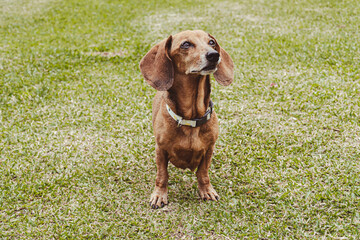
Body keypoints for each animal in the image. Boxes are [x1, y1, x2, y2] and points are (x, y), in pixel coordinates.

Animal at [139, 30, 235, 209]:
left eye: (211, 42)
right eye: (186, 44)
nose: (214, 55)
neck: (192, 118)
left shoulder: (209, 149)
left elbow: (203, 173)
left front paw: (206, 191)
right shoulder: (160, 150)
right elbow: (162, 176)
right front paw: (159, 195)